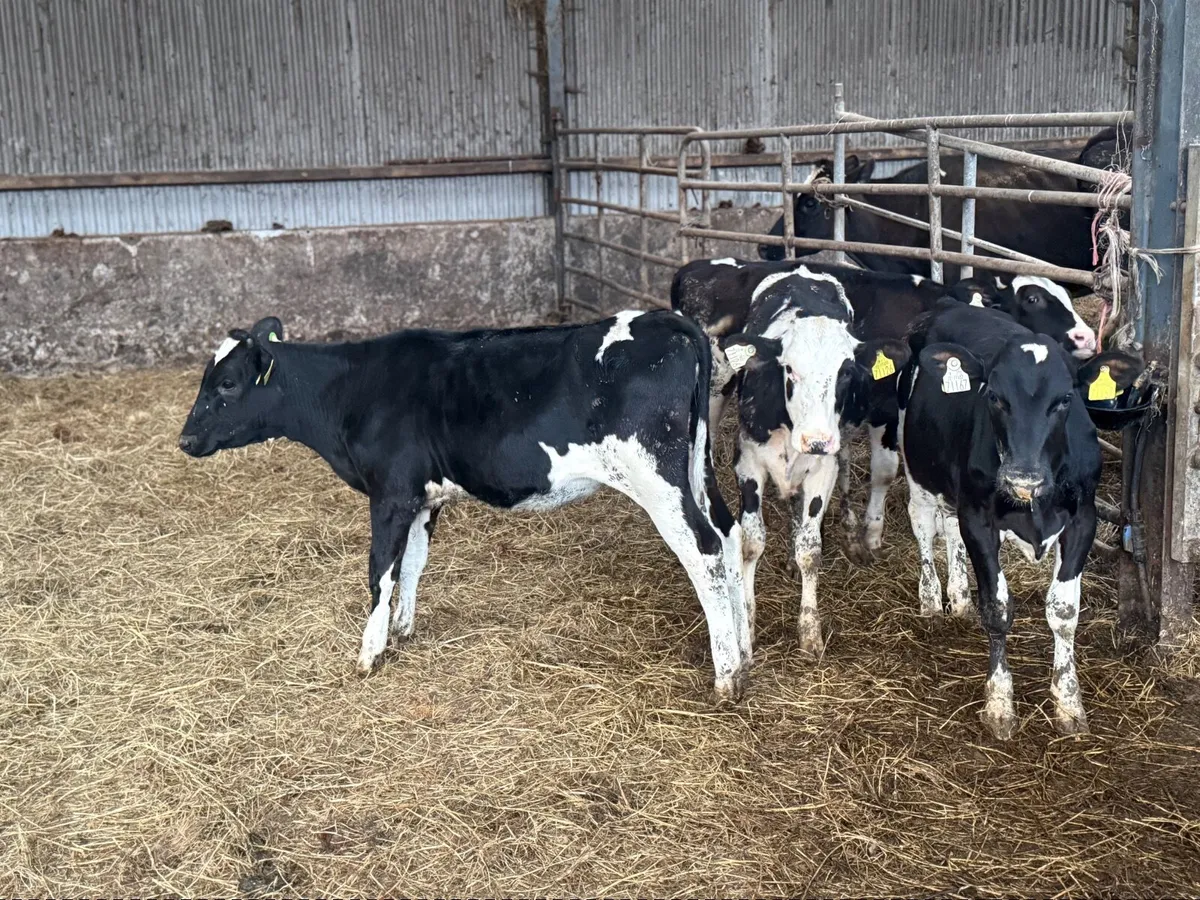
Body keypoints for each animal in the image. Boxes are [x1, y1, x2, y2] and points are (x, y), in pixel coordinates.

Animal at [177, 313, 753, 703]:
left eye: (227, 383)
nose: (184, 439)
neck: (352, 389)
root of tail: (668, 320)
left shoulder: (390, 494)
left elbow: (379, 571)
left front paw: (370, 652)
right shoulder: (422, 497)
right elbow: (411, 565)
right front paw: (402, 629)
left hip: (656, 478)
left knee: (705, 550)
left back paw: (726, 676)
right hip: (695, 472)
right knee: (730, 536)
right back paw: (745, 650)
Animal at [715, 267, 909, 655]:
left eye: (846, 371)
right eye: (789, 369)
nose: (816, 439)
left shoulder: (823, 467)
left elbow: (810, 548)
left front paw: (809, 630)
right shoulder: (747, 462)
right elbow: (751, 542)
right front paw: (748, 622)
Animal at [898, 301, 1102, 739]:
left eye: (1065, 399)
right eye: (994, 396)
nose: (1023, 478)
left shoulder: (1084, 519)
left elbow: (1063, 611)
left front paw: (1068, 702)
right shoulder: (979, 518)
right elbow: (997, 608)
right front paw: (1000, 704)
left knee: (948, 531)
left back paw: (957, 596)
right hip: (918, 469)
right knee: (923, 525)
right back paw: (931, 599)